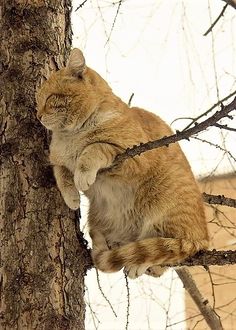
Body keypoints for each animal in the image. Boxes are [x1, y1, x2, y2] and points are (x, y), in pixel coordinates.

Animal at [36, 47, 209, 278]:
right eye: (37, 101)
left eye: (51, 98)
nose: (38, 115)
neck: (70, 137)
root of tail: (204, 237)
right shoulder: (58, 161)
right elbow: (62, 174)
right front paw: (72, 197)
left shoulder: (131, 155)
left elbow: (93, 149)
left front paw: (82, 175)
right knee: (152, 261)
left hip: (167, 215)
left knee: (168, 251)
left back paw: (138, 263)